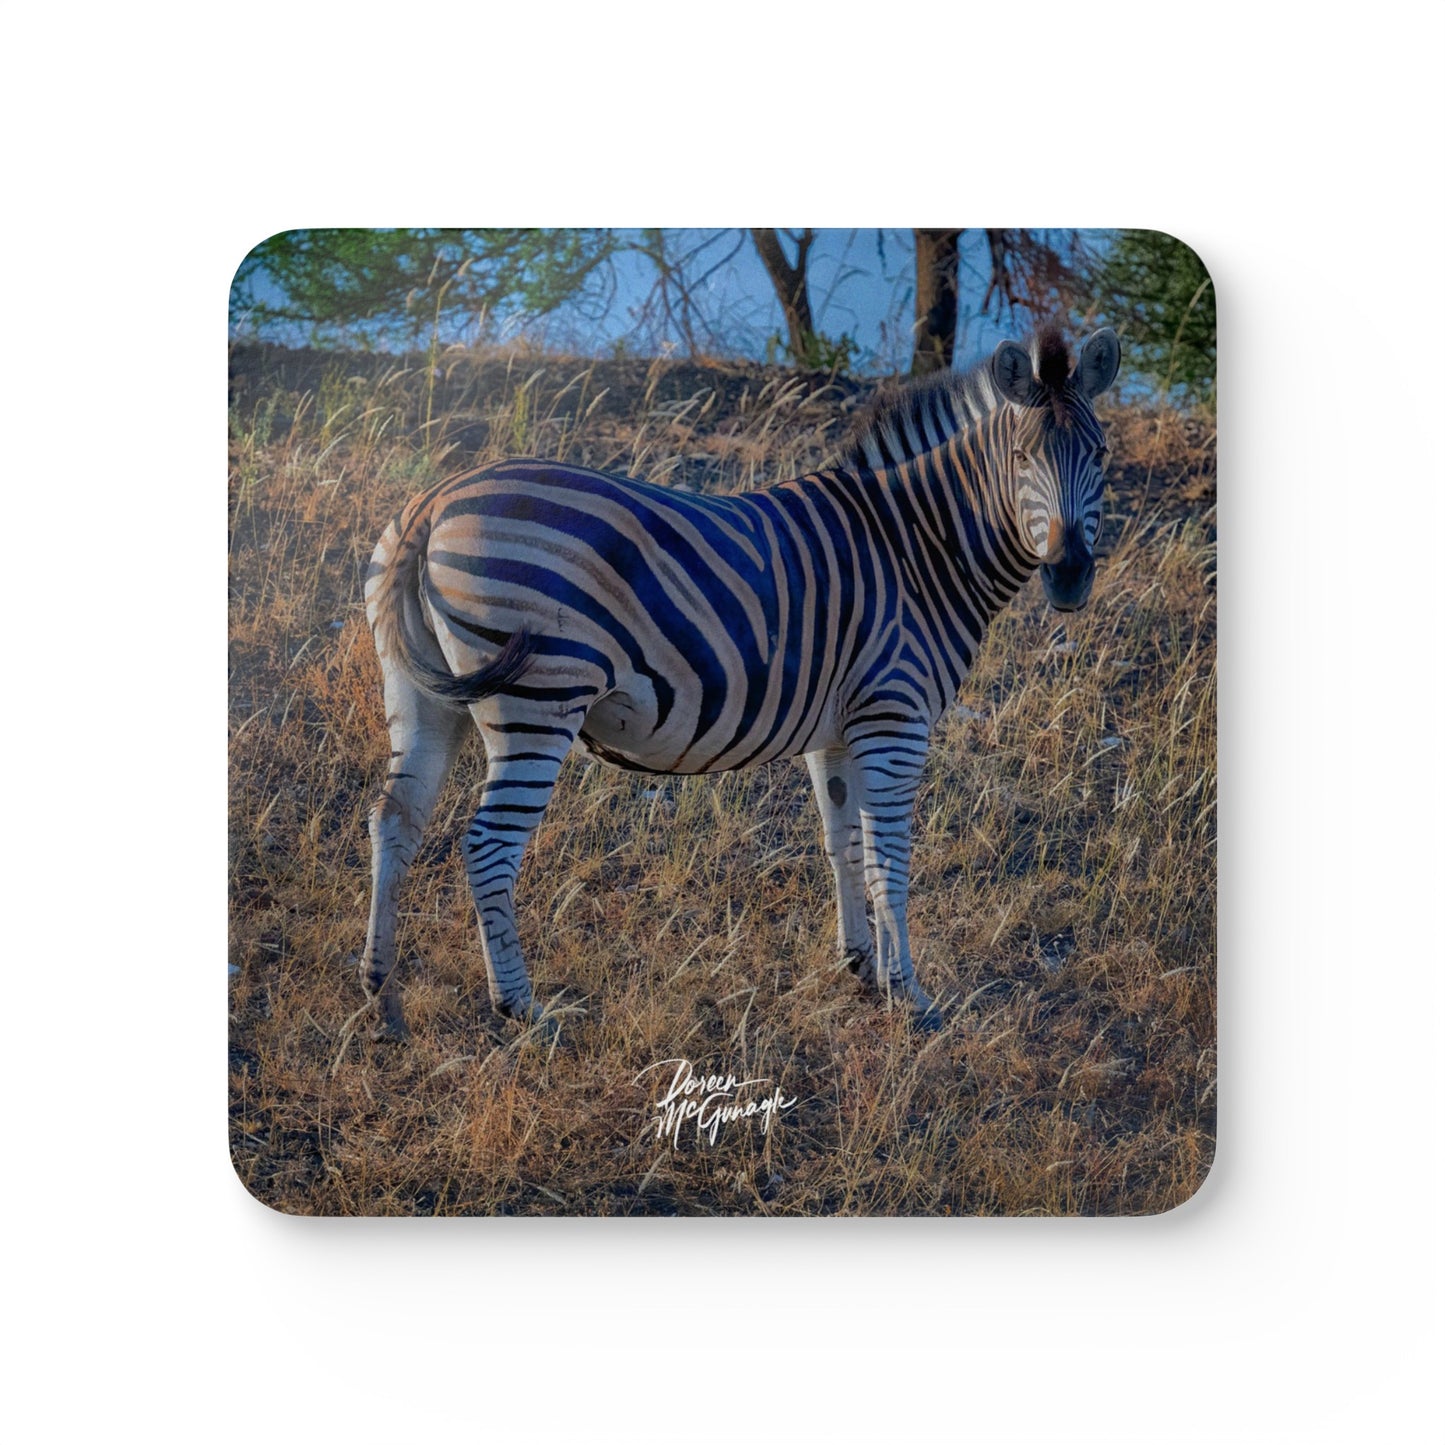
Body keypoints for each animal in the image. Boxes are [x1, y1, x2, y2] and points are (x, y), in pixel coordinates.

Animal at [360, 322, 1120, 1039]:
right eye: (1022, 459)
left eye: (1101, 456)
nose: (1069, 576)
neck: (916, 548)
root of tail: (434, 502)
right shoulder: (894, 717)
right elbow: (889, 858)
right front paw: (910, 994)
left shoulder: (838, 730)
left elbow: (842, 842)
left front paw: (861, 966)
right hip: (538, 701)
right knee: (488, 847)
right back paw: (521, 1008)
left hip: (420, 695)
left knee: (394, 820)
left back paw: (382, 991)